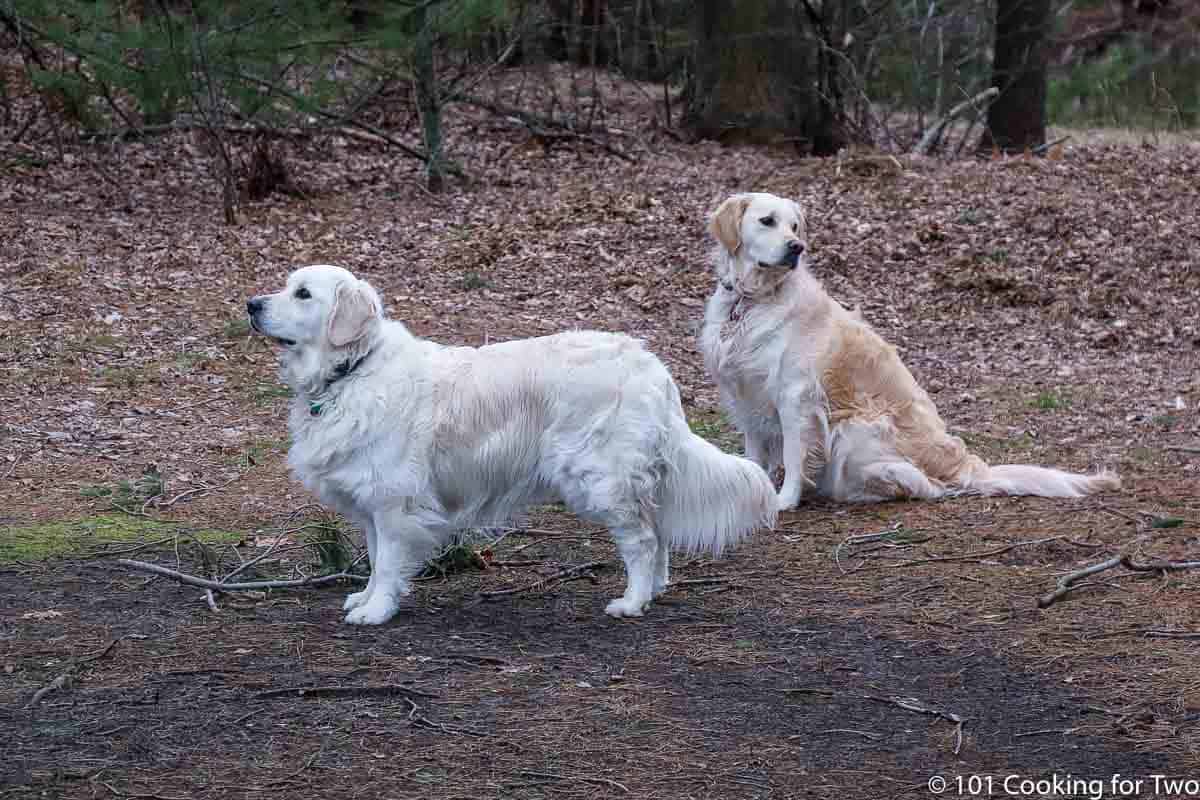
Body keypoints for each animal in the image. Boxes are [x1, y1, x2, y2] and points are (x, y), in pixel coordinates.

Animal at [250, 266, 777, 623]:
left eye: (303, 293)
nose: (252, 305)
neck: (351, 370)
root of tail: (653, 367)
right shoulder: (372, 504)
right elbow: (377, 558)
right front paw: (365, 597)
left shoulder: (395, 501)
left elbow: (390, 562)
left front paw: (377, 609)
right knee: (658, 529)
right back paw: (654, 591)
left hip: (600, 477)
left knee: (643, 539)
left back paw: (631, 601)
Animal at [700, 191, 1118, 510]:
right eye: (767, 221)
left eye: (795, 226)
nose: (796, 248)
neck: (751, 300)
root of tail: (967, 467)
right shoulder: (745, 396)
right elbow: (755, 454)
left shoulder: (795, 396)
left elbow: (792, 453)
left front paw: (785, 500)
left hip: (857, 426)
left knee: (923, 486)